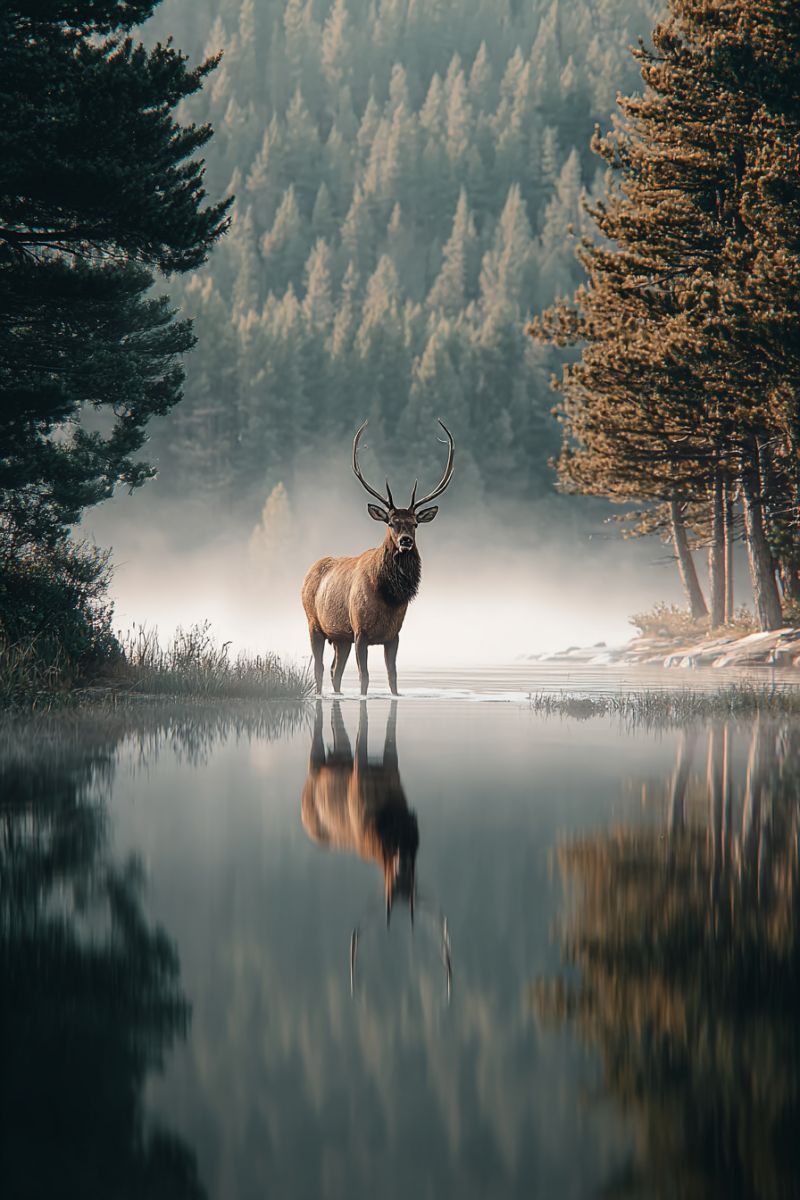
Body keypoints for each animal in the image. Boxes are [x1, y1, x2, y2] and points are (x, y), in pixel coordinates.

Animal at [301, 419, 455, 696]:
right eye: (392, 523)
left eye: (415, 524)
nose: (405, 541)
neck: (389, 598)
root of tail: (308, 573)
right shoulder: (360, 631)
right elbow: (365, 678)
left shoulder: (394, 635)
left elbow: (393, 678)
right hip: (314, 624)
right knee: (319, 667)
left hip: (340, 637)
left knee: (335, 670)